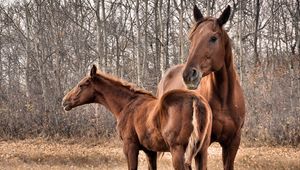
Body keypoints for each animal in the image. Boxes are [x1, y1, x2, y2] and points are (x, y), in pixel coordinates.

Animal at [62, 64, 212, 169]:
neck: (126, 104)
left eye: (81, 85)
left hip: (177, 150)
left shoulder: (130, 146)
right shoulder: (150, 151)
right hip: (201, 151)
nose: (65, 101)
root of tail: (195, 100)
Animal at [157, 5, 246, 170]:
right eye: (192, 38)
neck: (224, 100)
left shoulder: (233, 143)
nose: (188, 74)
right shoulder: (203, 145)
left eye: (213, 38)